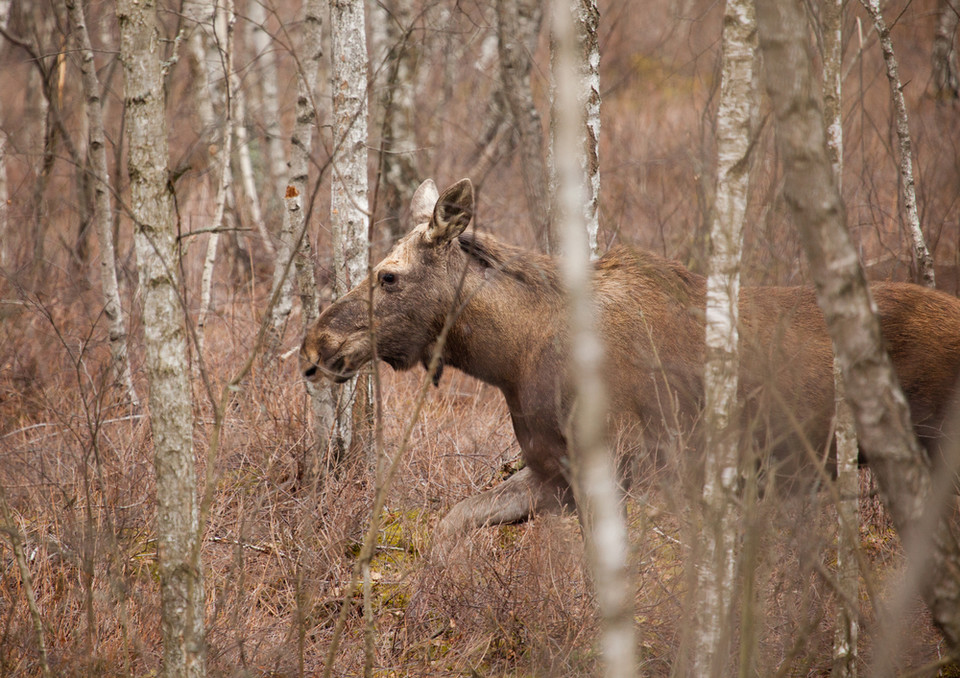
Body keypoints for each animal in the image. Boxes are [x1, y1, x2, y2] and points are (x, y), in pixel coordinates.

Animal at [304, 179, 960, 548]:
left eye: (389, 276)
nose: (314, 347)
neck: (511, 357)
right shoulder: (551, 473)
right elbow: (449, 527)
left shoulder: (631, 469)